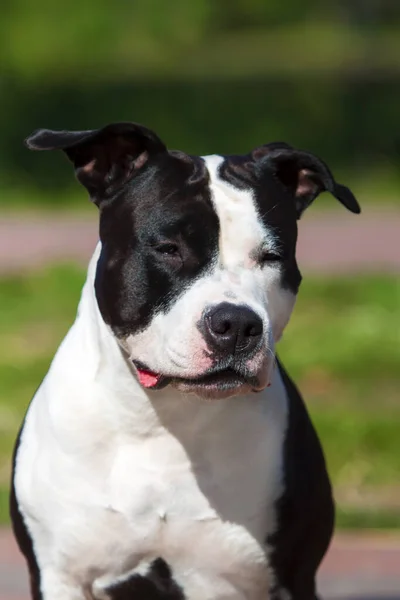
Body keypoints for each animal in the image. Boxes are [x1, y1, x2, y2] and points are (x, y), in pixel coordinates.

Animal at [9, 123, 360, 600]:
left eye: (272, 256)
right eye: (168, 248)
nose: (236, 324)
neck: (164, 420)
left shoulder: (290, 578)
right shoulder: (59, 575)